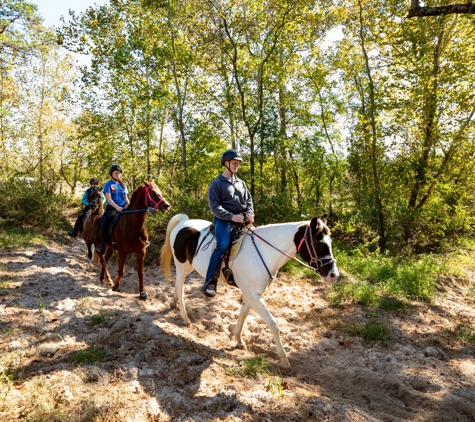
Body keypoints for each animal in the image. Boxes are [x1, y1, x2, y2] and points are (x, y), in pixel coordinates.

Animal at [162, 214, 340, 370]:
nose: (334, 275)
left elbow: (243, 314)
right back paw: (185, 317)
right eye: (319, 243)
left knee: (177, 288)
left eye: (330, 242)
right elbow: (273, 324)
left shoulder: (252, 293)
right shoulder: (254, 296)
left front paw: (238, 340)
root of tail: (184, 221)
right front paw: (283, 360)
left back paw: (173, 303)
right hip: (181, 266)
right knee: (180, 288)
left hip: (189, 266)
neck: (265, 252)